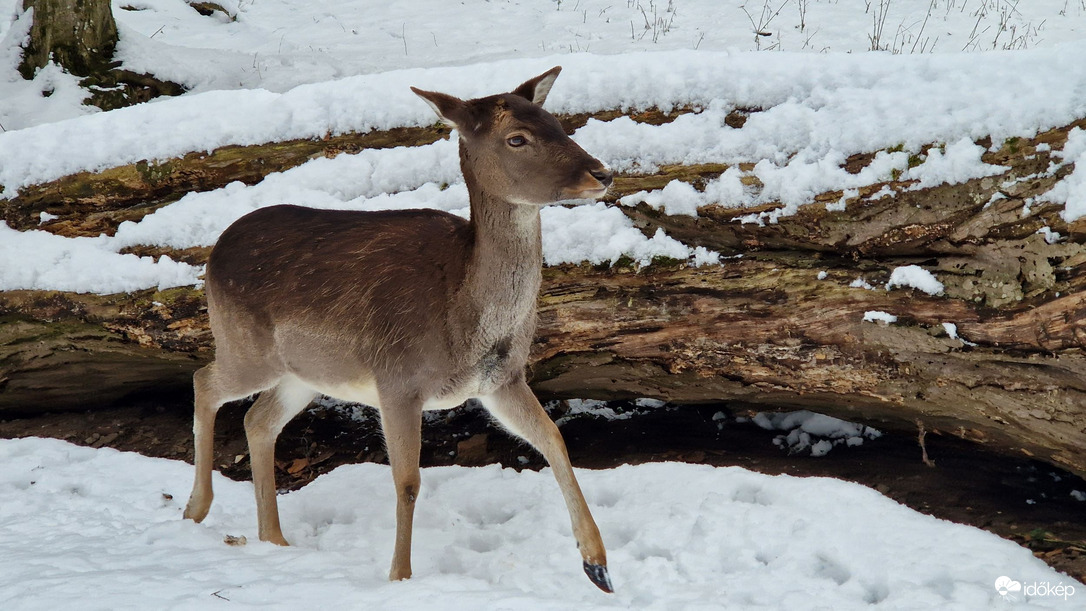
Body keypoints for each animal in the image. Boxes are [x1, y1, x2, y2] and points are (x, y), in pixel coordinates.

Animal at [182, 67, 616, 594]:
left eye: (557, 123)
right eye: (518, 138)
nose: (602, 173)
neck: (464, 320)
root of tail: (213, 252)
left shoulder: (502, 380)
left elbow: (555, 439)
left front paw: (598, 566)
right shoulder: (397, 380)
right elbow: (408, 482)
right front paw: (401, 577)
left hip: (303, 373)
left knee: (257, 419)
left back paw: (274, 539)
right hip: (245, 346)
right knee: (205, 381)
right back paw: (196, 509)